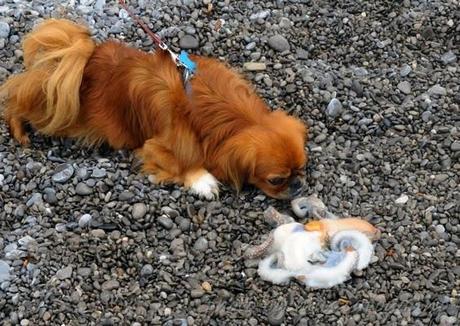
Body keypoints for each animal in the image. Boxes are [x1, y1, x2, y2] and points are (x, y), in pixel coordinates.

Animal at [1, 20, 310, 200]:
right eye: (276, 180)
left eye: (301, 169)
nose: (298, 186)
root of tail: (83, 58)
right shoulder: (154, 146)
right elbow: (181, 163)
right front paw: (202, 181)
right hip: (56, 108)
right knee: (14, 99)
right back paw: (19, 131)